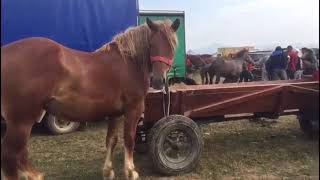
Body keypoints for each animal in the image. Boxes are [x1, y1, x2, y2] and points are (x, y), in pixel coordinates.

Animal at [0, 17, 180, 179]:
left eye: (172, 46)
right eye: (152, 45)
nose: (159, 81)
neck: (128, 62)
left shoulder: (114, 113)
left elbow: (111, 140)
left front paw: (108, 172)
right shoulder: (133, 110)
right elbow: (129, 139)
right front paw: (130, 172)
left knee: (20, 153)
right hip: (21, 120)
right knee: (10, 155)